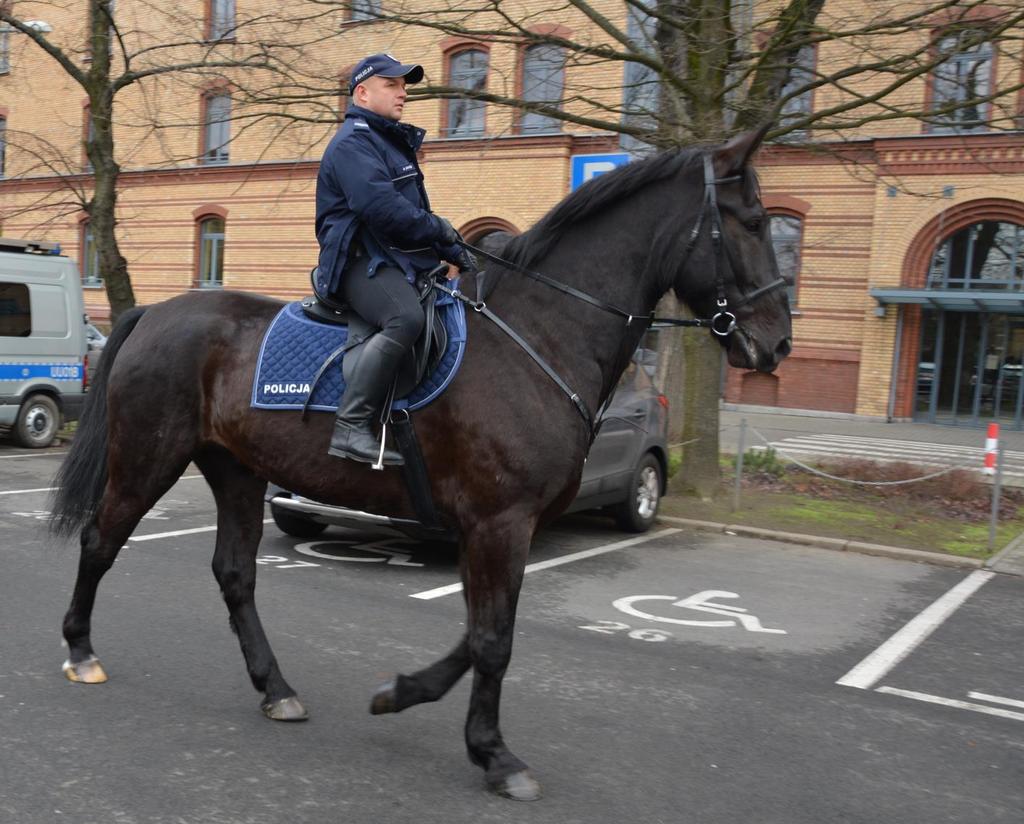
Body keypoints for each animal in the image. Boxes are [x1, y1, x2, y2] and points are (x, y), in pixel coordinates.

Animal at [49, 132, 790, 802]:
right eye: (754, 222)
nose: (778, 341)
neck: (537, 338)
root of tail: (155, 313)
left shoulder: (500, 528)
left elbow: (482, 633)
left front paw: (402, 693)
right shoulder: (499, 523)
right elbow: (492, 641)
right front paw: (494, 754)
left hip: (236, 470)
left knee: (235, 575)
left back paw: (276, 689)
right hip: (149, 456)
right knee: (101, 540)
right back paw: (81, 652)